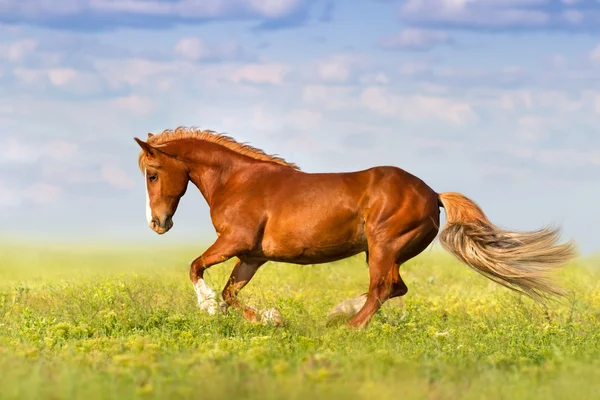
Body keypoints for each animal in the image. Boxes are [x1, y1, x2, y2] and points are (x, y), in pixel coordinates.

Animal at [135, 127, 576, 328]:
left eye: (153, 174)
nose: (158, 224)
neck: (238, 181)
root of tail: (432, 193)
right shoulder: (252, 255)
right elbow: (230, 292)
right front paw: (271, 318)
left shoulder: (234, 241)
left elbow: (196, 267)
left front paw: (207, 306)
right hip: (385, 250)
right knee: (393, 287)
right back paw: (338, 314)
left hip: (383, 245)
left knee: (381, 289)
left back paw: (345, 326)